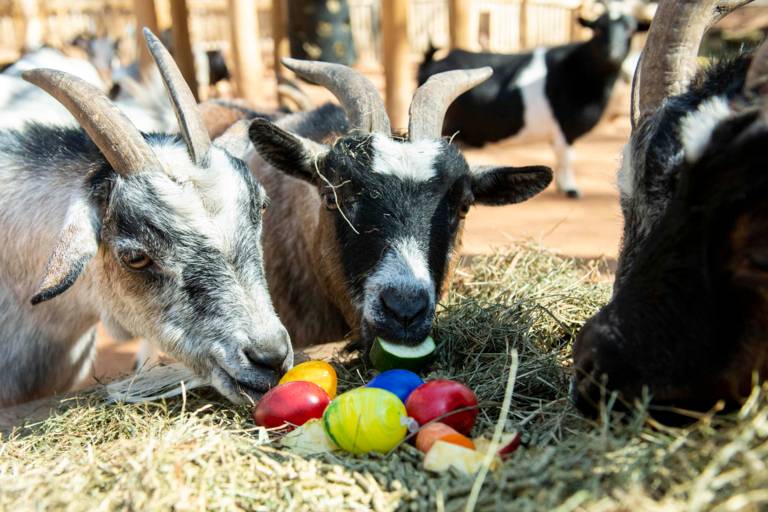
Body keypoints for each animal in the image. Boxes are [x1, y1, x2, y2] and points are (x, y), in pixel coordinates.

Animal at [416, 6, 640, 198]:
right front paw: (571, 189)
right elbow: (566, 157)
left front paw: (562, 186)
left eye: (630, 29)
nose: (613, 53)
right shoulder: (564, 129)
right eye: (598, 29)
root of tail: (431, 63)